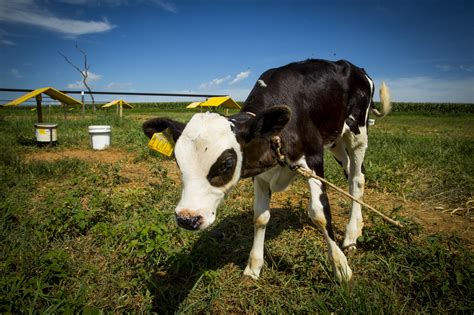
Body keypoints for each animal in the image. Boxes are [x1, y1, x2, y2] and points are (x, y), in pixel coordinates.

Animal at [143, 59, 390, 284]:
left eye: (227, 164)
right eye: (178, 161)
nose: (187, 218)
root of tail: (354, 67)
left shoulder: (313, 158)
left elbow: (320, 214)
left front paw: (340, 267)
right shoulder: (259, 175)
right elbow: (260, 217)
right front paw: (253, 266)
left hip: (358, 131)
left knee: (357, 179)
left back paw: (350, 236)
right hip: (335, 138)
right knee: (350, 173)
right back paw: (357, 228)